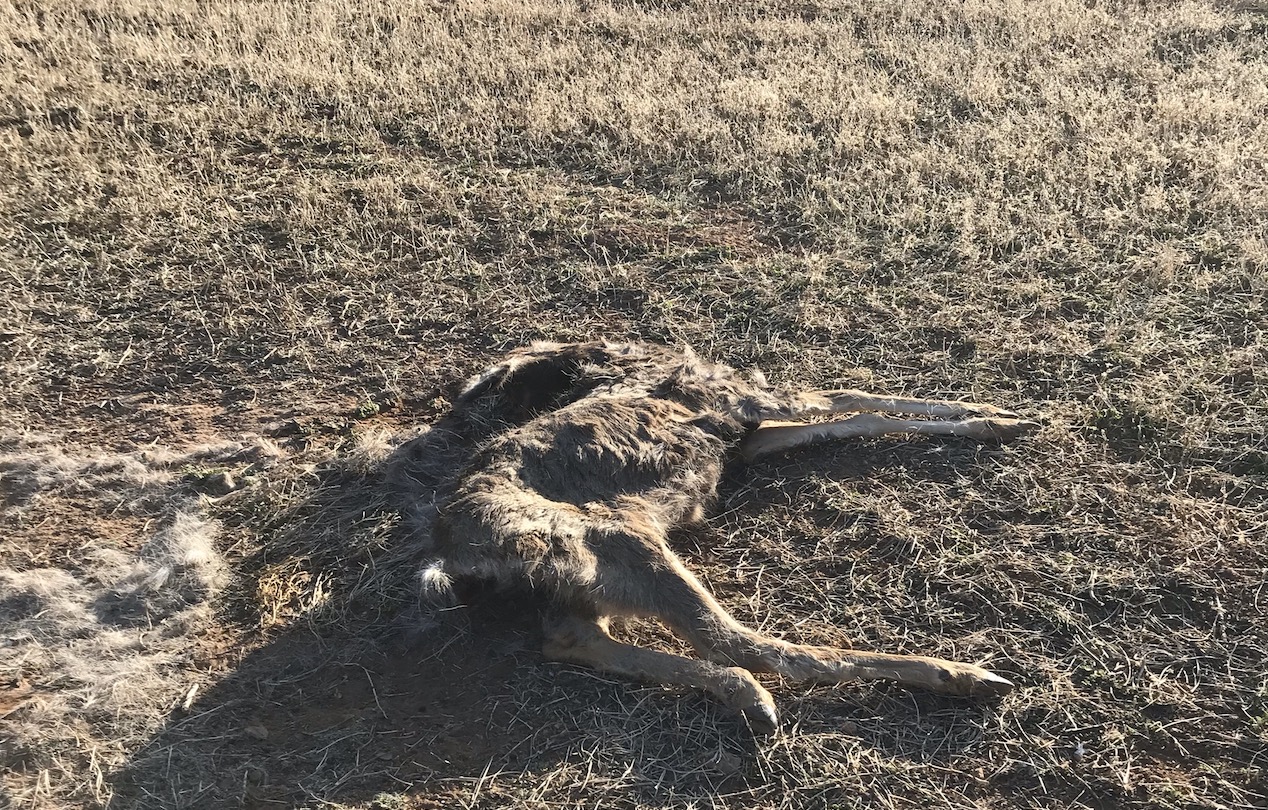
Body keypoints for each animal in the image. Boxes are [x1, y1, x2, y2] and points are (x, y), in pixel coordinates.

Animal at [392, 341, 1038, 732]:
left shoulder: (742, 439)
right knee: (746, 642)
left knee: (570, 638)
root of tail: (451, 551)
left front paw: (999, 417)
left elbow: (848, 418)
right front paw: (997, 415)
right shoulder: (742, 399)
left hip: (585, 575)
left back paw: (743, 694)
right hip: (618, 540)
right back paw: (963, 675)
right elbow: (851, 397)